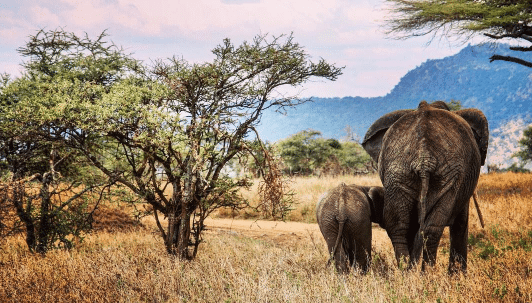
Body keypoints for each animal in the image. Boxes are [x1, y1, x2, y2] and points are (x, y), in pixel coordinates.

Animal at [362, 101, 486, 274]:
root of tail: (424, 155)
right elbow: (461, 222)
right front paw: (458, 277)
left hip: (398, 172)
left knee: (399, 226)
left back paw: (406, 273)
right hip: (449, 174)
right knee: (432, 229)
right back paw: (427, 275)